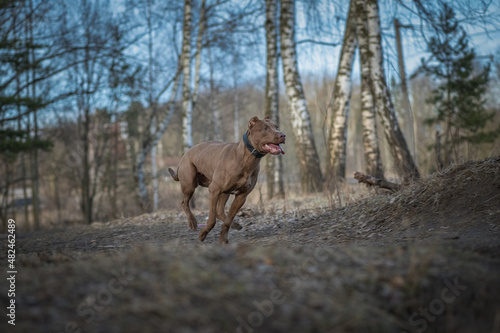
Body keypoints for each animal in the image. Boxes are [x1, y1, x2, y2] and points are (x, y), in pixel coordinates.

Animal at [168, 115, 286, 243]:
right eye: (265, 128)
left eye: (276, 127)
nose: (283, 135)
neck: (246, 159)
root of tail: (185, 153)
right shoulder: (214, 190)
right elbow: (212, 218)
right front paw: (203, 233)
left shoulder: (241, 196)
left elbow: (228, 219)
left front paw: (223, 239)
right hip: (190, 184)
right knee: (184, 202)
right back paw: (193, 223)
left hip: (225, 192)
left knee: (220, 212)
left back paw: (235, 225)